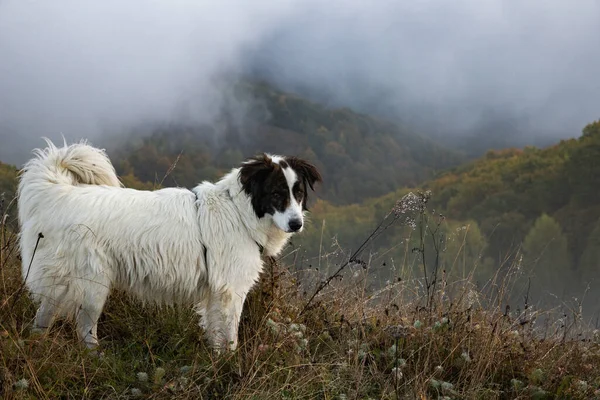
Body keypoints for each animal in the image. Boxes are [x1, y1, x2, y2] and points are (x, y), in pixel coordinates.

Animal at [16, 140, 322, 350]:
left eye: (298, 194)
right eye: (277, 194)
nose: (296, 224)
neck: (239, 212)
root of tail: (60, 193)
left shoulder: (215, 293)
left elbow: (215, 332)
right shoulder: (230, 291)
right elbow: (230, 336)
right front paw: (229, 364)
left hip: (66, 282)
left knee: (43, 315)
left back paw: (38, 344)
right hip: (93, 285)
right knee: (84, 326)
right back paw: (94, 356)